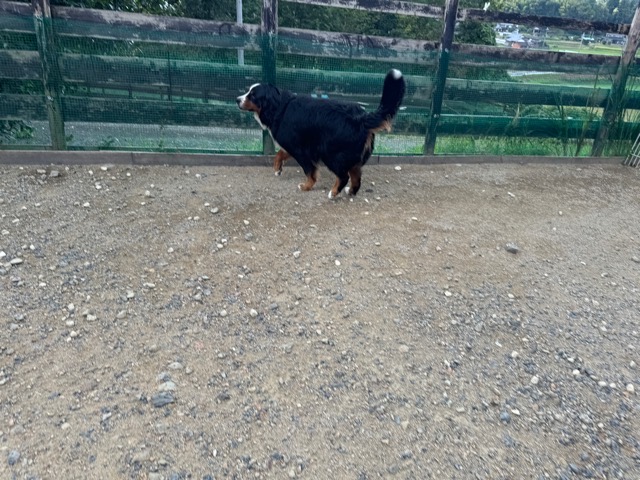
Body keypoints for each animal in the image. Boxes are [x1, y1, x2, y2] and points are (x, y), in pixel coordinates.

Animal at [236, 69, 406, 198]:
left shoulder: (302, 151)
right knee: (356, 178)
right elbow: (279, 154)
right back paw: (350, 191)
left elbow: (310, 171)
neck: (279, 107)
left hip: (331, 153)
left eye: (252, 95)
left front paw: (306, 186)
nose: (237, 99)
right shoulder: (293, 144)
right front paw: (278, 169)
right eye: (248, 92)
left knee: (344, 176)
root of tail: (361, 117)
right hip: (351, 158)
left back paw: (333, 193)